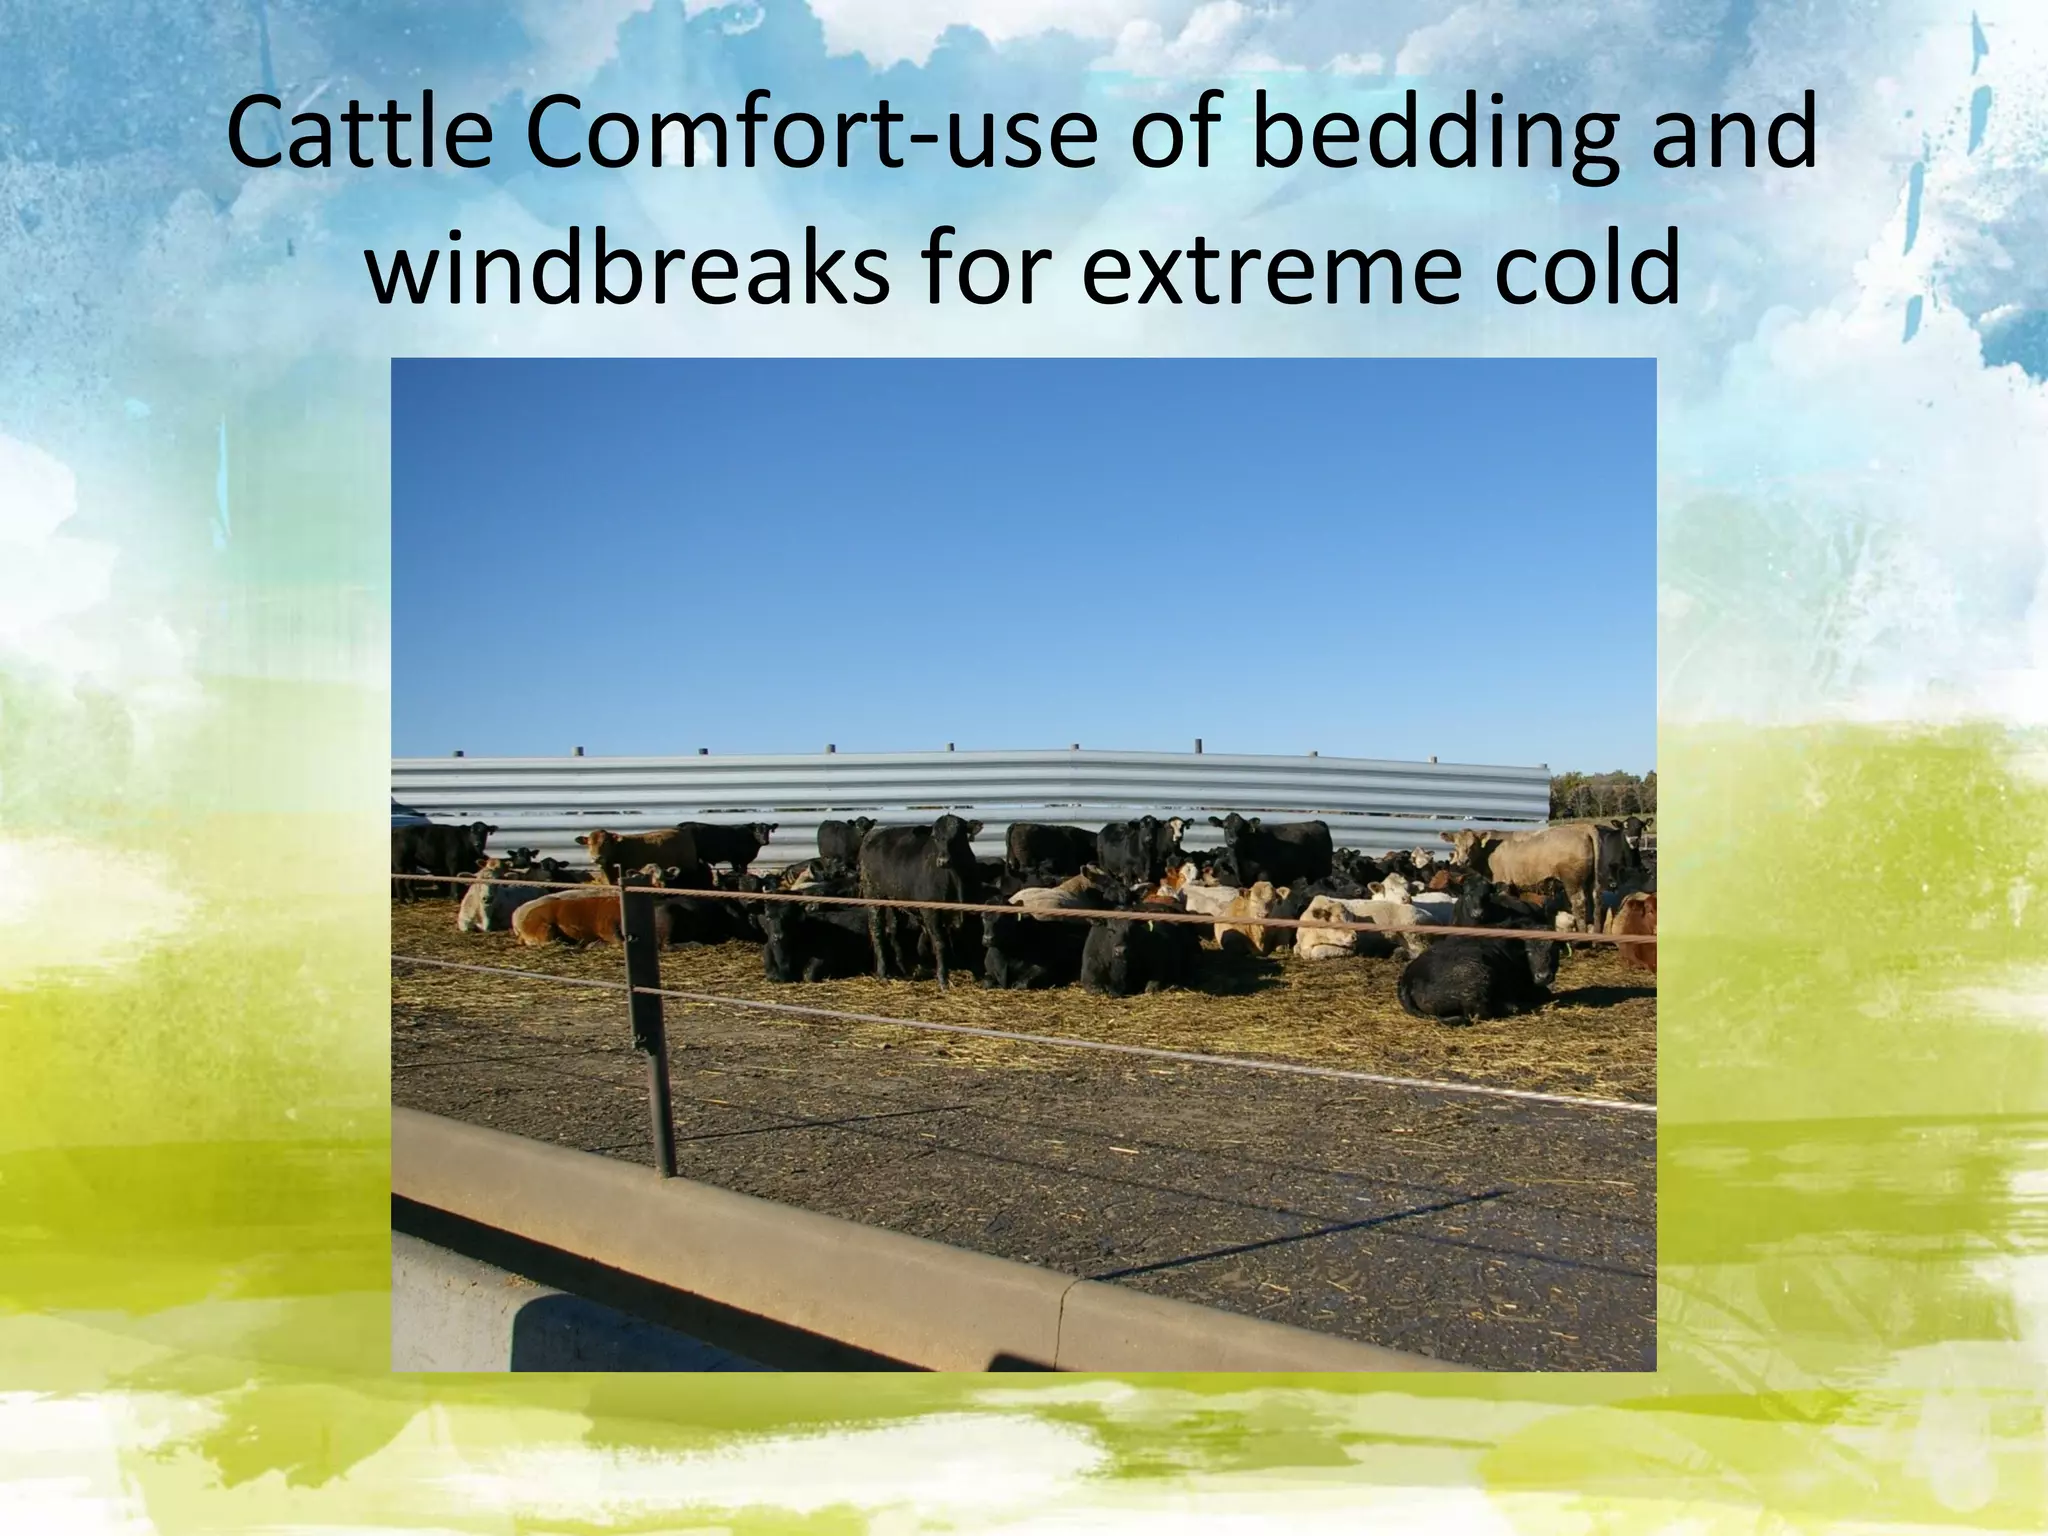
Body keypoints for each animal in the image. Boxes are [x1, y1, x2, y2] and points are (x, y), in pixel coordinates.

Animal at [857, 814, 984, 988]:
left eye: (958, 836)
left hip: (895, 900)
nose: (943, 861)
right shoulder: (930, 911)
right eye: (934, 837)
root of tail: (873, 833)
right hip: (874, 895)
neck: (954, 877)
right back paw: (882, 973)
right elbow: (940, 942)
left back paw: (903, 969)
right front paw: (943, 979)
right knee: (877, 930)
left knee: (894, 931)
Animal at [1444, 824, 1600, 926]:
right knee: (1594, 902)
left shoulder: (1502, 880)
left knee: (1579, 904)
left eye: (1473, 844)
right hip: (1590, 880)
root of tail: (1582, 829)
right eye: (1456, 845)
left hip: (1572, 879)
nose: (1463, 861)